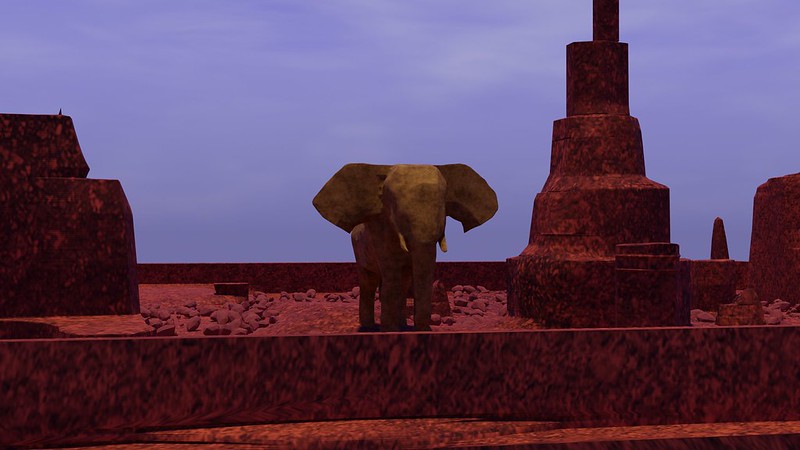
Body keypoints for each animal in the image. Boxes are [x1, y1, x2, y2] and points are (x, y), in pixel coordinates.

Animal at [313, 163, 498, 332]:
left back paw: (400, 324)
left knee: (402, 282)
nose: (423, 330)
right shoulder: (380, 230)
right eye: (395, 207)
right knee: (370, 282)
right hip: (358, 248)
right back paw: (370, 327)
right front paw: (389, 331)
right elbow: (391, 275)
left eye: (444, 204)